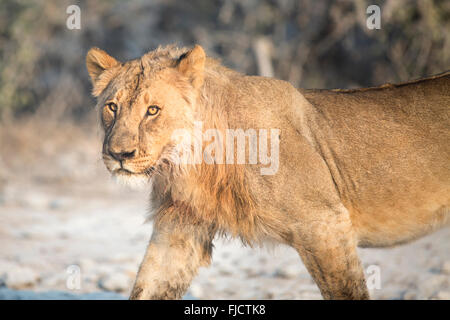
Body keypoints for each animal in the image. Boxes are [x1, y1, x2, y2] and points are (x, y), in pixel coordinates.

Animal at [85, 43, 450, 298]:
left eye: (153, 110)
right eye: (112, 106)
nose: (119, 154)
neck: (191, 162)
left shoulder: (325, 221)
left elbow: (346, 291)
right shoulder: (179, 228)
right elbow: (148, 286)